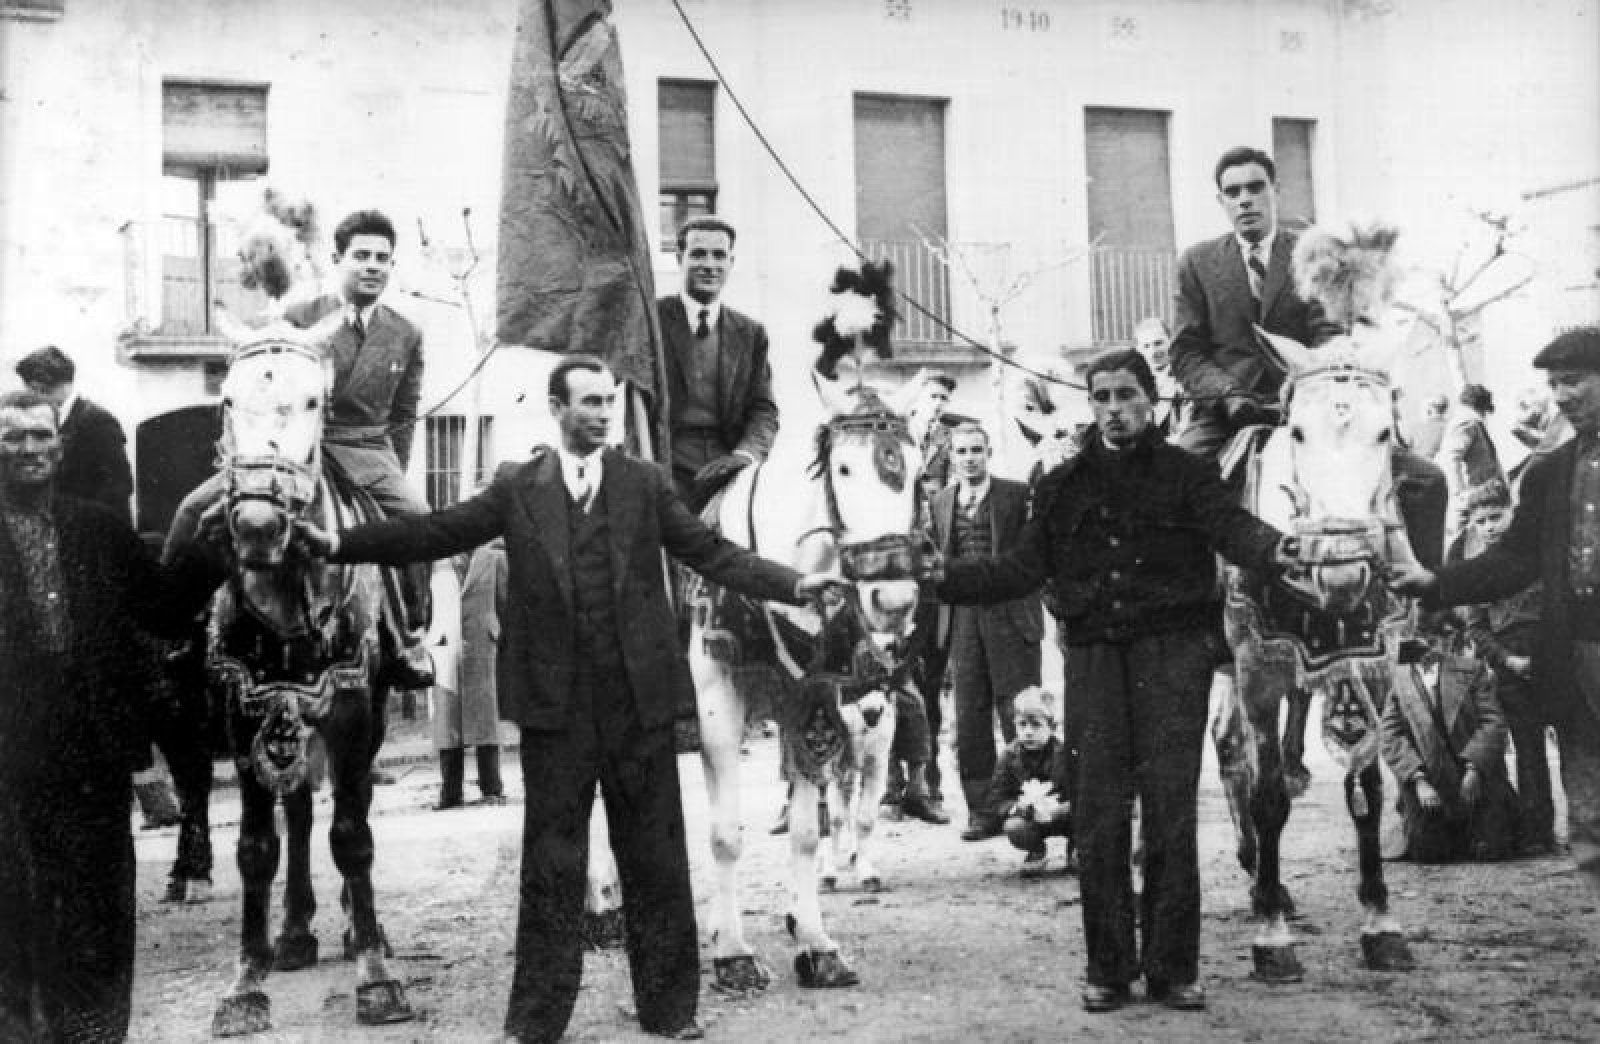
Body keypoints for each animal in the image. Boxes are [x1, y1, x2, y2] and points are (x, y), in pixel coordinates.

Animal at [688, 363, 928, 992]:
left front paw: (816, 944)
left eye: (917, 472)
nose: (893, 599)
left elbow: (806, 831)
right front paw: (733, 953)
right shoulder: (716, 706)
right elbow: (726, 835)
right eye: (843, 469)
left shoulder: (811, 704)